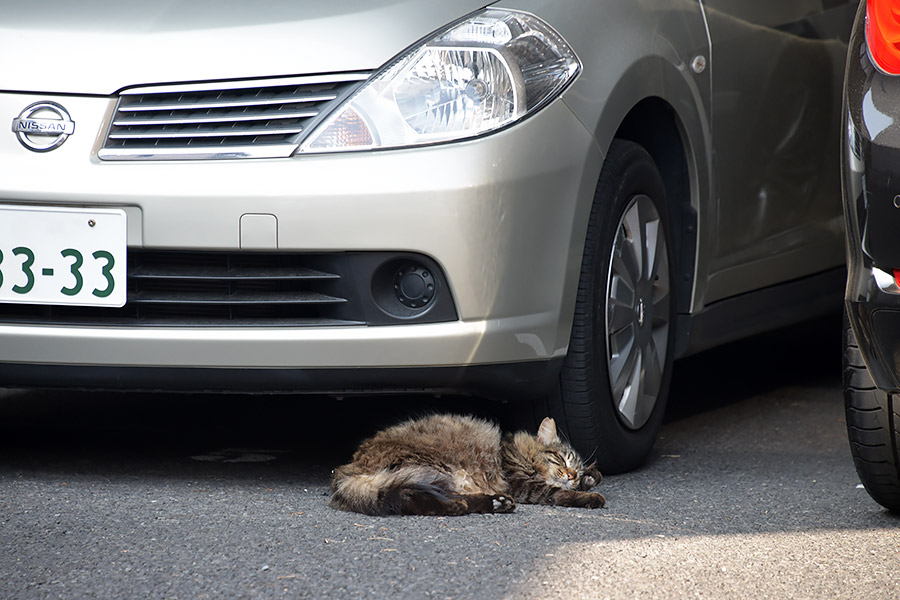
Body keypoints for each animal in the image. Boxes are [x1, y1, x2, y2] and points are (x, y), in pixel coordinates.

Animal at [330, 412, 604, 516]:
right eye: (561, 459)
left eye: (575, 468)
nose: (571, 475)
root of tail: (348, 468)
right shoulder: (522, 483)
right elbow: (557, 493)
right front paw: (590, 496)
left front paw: (590, 477)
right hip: (432, 469)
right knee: (412, 496)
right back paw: (456, 507)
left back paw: (496, 503)